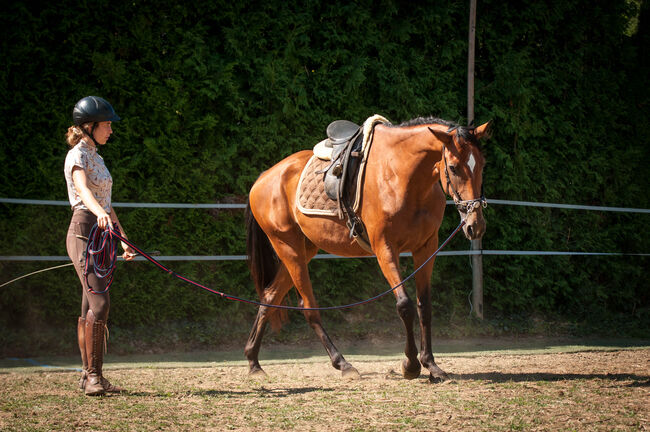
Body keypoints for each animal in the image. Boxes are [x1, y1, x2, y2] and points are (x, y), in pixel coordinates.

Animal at [246, 116, 488, 380]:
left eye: (482, 164)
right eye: (453, 167)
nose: (475, 225)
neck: (403, 176)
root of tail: (264, 178)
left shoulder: (426, 248)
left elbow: (424, 306)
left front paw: (431, 364)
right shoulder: (385, 248)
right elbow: (405, 305)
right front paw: (411, 364)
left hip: (302, 250)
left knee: (269, 297)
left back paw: (253, 361)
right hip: (289, 249)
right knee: (308, 307)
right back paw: (342, 363)